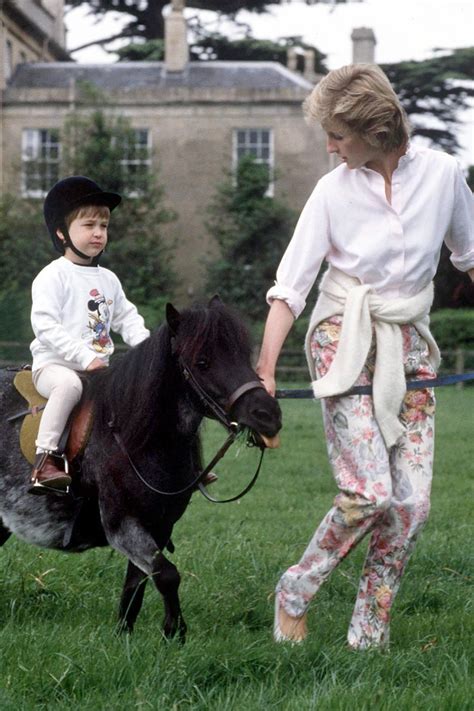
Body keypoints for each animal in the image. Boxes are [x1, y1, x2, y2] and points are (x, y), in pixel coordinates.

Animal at [0, 298, 282, 644]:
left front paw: (126, 636)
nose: (268, 415)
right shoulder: (123, 525)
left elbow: (137, 584)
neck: (130, 436)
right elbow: (167, 574)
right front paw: (175, 632)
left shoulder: (158, 526)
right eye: (202, 362)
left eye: (243, 355)